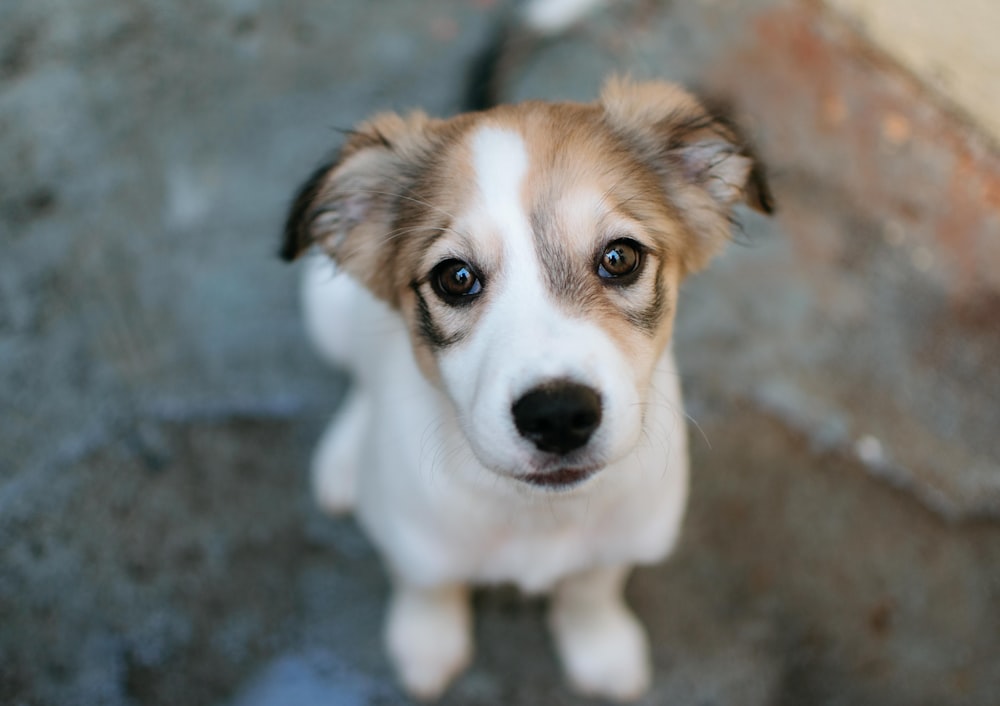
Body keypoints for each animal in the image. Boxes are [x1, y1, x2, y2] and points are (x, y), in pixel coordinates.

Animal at [282, 77, 772, 700]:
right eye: (455, 277)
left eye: (620, 257)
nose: (558, 416)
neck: (539, 513)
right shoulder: (412, 538)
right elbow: (426, 584)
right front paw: (426, 641)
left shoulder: (631, 532)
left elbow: (591, 586)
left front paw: (599, 647)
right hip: (324, 309)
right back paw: (345, 458)